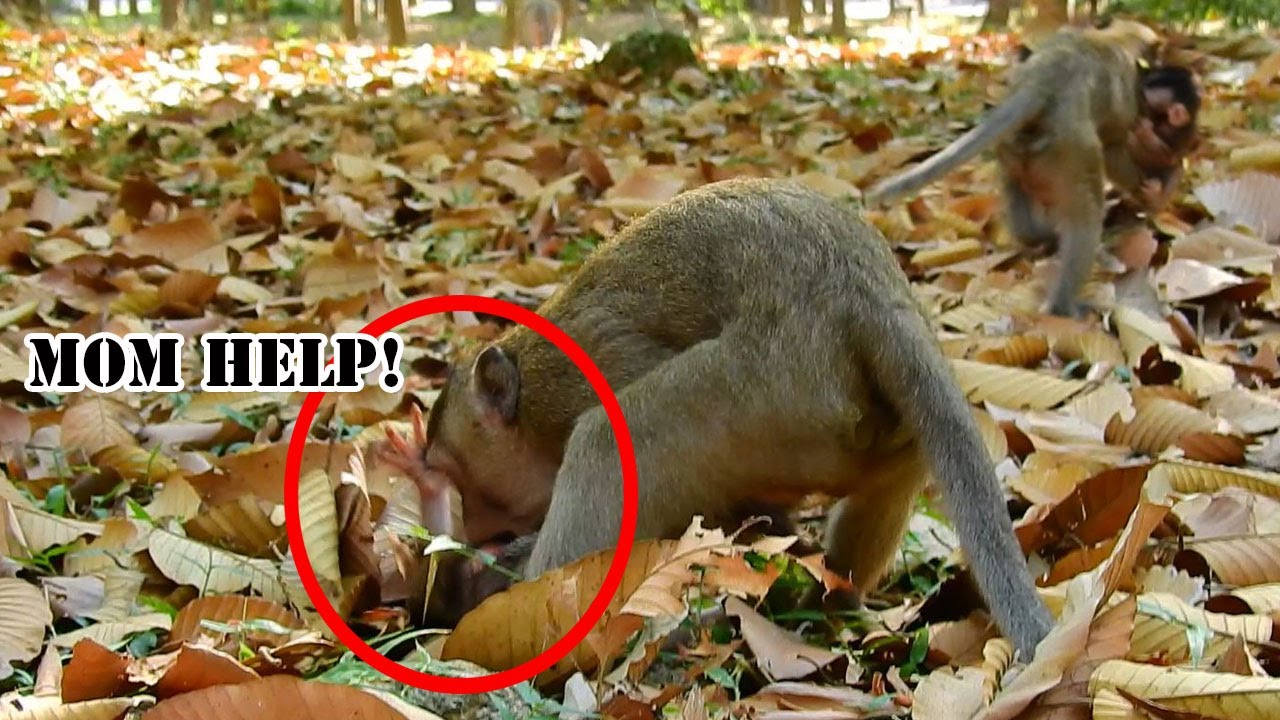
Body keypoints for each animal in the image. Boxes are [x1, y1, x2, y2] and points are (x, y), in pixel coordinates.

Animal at [410, 177, 1054, 657]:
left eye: (455, 471)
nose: (471, 531)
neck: (534, 393)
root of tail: (864, 295)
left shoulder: (591, 372)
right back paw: (830, 601)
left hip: (763, 387)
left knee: (605, 441)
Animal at [865, 20, 1164, 318]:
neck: (1114, 37)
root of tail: (1039, 83)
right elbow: (1114, 149)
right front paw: (1145, 189)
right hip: (1073, 149)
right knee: (1085, 217)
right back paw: (1063, 305)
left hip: (1015, 149)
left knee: (1021, 209)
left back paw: (1042, 235)